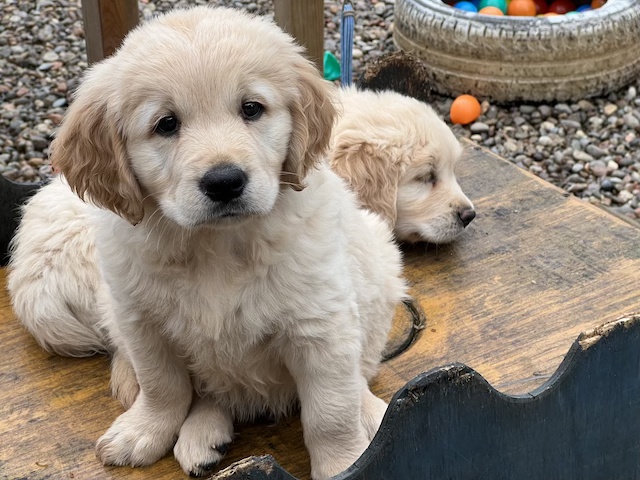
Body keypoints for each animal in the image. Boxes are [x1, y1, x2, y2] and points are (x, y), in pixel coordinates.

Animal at [7, 7, 406, 479]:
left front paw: (346, 464)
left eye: (252, 108)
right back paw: (202, 434)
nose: (225, 182)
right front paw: (146, 429)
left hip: (378, 266)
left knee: (358, 374)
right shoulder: (141, 320)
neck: (216, 245)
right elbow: (162, 385)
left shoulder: (320, 325)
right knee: (210, 393)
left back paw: (370, 411)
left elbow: (331, 410)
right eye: (166, 124)